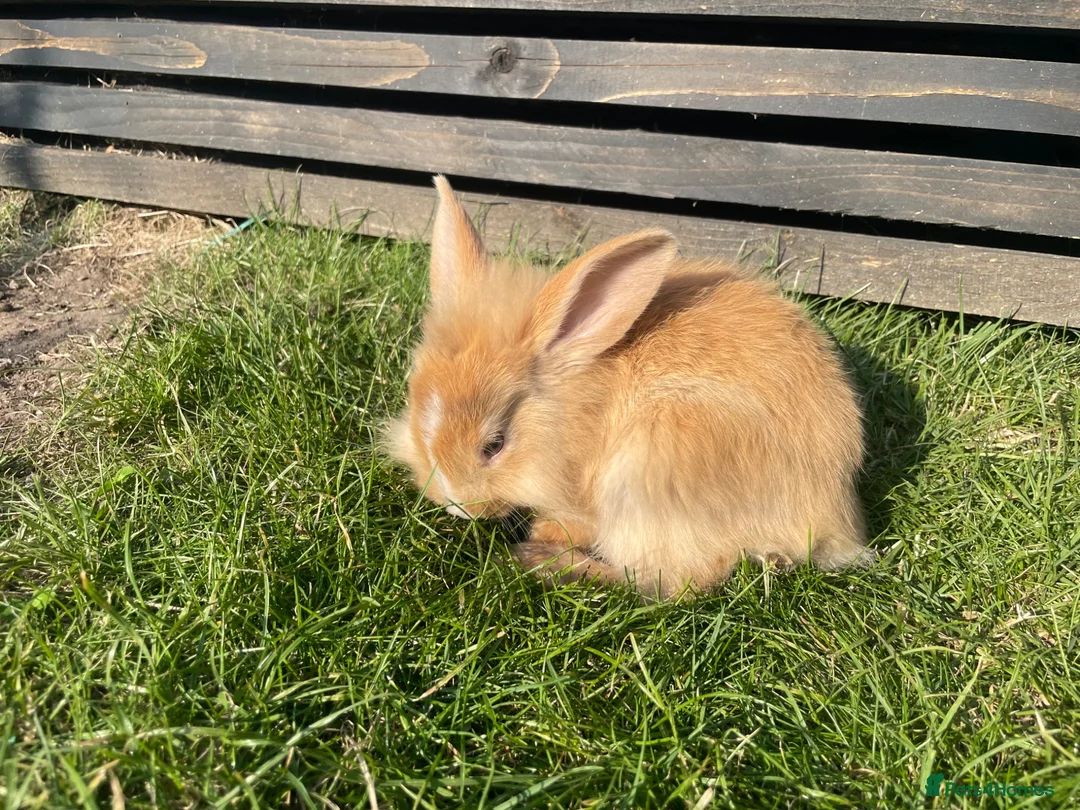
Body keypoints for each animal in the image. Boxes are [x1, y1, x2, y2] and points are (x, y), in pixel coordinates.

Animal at [384, 176, 871, 599]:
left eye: (494, 445)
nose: (456, 505)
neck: (576, 405)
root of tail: (832, 520)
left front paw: (542, 536)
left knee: (681, 581)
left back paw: (543, 561)